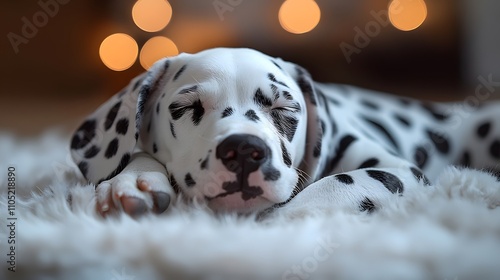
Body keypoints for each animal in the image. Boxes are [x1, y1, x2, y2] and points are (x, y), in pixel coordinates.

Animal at [70, 47, 500, 217]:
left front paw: (287, 220)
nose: (244, 151)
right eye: (185, 108)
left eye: (283, 108)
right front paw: (134, 180)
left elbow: (336, 183)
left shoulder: (398, 171)